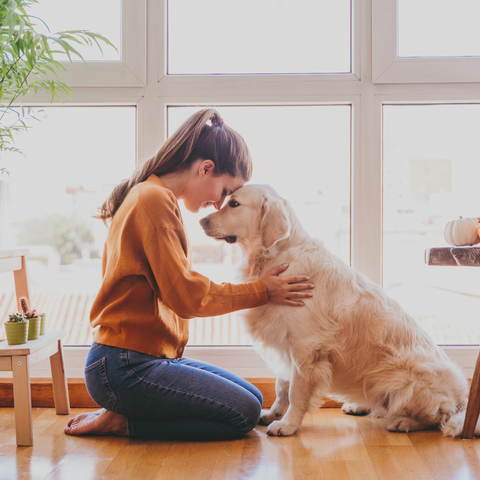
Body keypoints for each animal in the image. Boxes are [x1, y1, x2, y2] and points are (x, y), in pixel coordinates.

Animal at [200, 185, 472, 438]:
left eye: (234, 204)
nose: (201, 220)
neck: (278, 256)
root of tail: (463, 398)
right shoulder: (285, 344)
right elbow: (281, 386)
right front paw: (273, 414)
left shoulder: (305, 348)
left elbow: (295, 391)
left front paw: (288, 425)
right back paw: (359, 406)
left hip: (404, 376)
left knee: (438, 416)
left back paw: (403, 421)